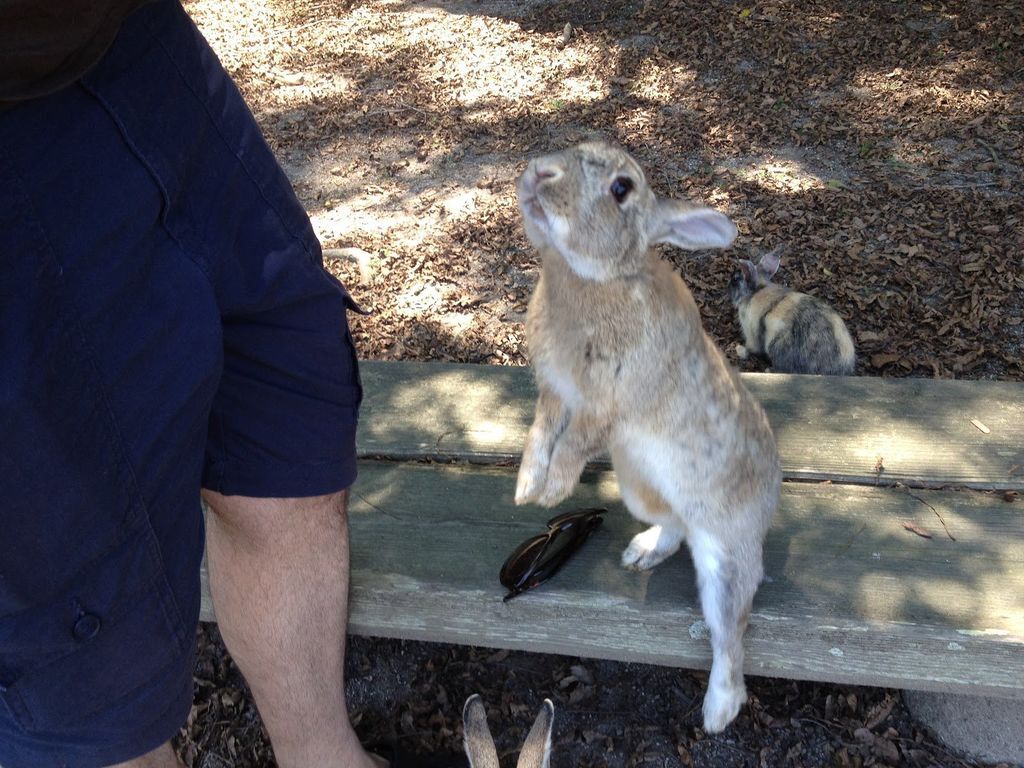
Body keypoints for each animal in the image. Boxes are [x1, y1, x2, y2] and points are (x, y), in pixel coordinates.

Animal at [729, 247, 856, 376]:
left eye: (735, 279)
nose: (728, 288)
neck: (756, 291)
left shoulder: (751, 334)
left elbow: (751, 349)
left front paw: (739, 349)